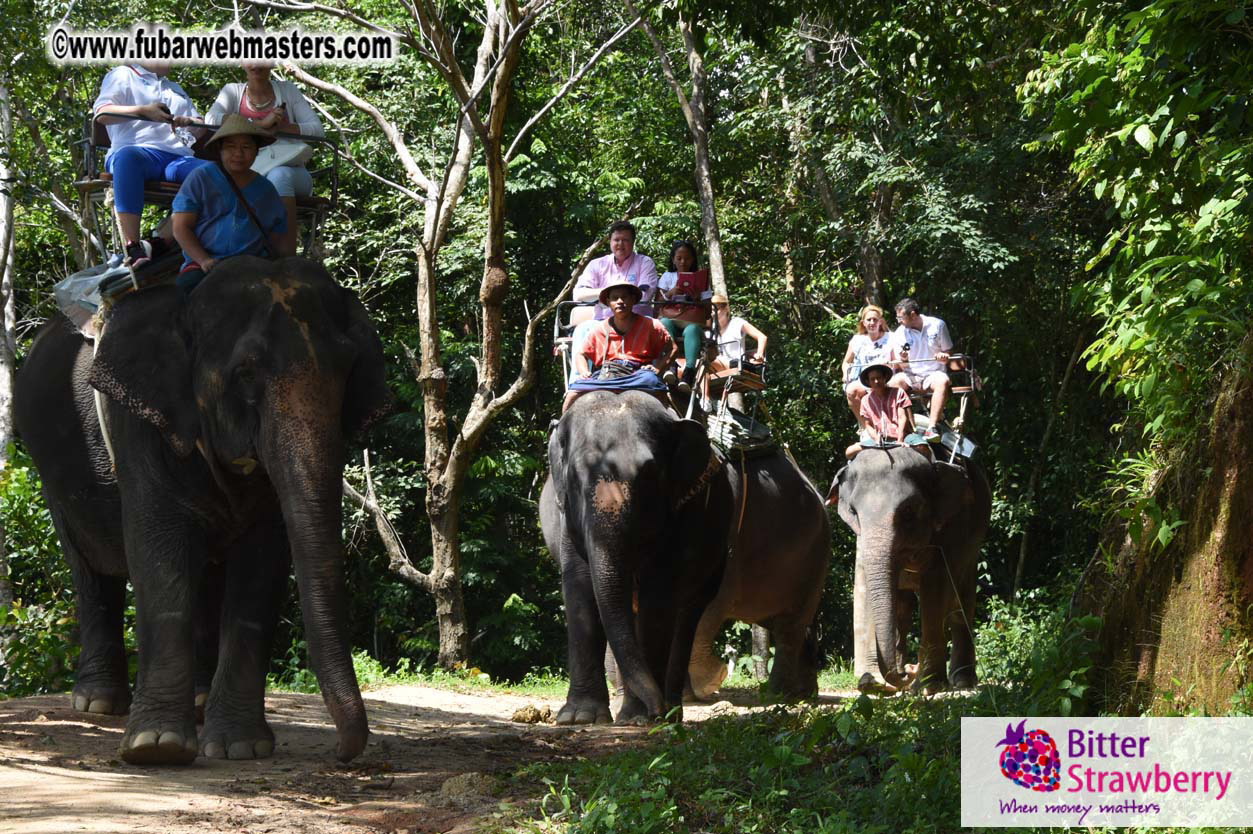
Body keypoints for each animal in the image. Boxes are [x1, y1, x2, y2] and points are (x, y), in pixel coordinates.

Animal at [13, 256, 391, 765]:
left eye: (349, 369)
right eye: (246, 373)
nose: (342, 753)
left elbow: (263, 561)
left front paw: (239, 748)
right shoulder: (141, 419)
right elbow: (158, 551)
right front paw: (157, 748)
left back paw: (195, 702)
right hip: (50, 468)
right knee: (90, 568)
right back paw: (98, 703)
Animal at [540, 390, 733, 725]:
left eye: (650, 474)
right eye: (575, 477)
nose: (656, 710)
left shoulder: (681, 512)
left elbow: (658, 593)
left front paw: (639, 718)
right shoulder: (568, 517)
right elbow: (579, 585)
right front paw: (579, 718)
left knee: (688, 614)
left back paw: (671, 710)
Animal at [831, 446, 991, 693]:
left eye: (908, 511)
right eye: (853, 512)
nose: (907, 671)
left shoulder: (952, 528)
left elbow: (935, 588)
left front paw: (928, 686)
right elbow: (866, 584)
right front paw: (872, 683)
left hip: (975, 539)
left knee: (960, 601)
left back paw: (962, 681)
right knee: (905, 607)